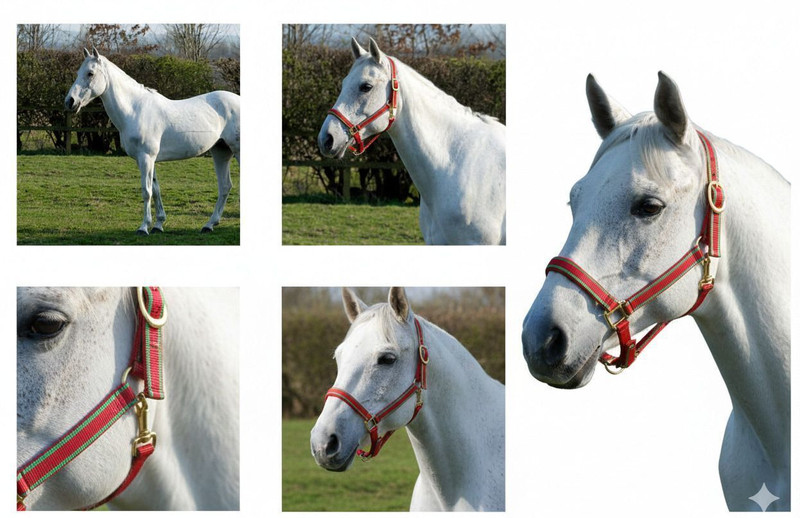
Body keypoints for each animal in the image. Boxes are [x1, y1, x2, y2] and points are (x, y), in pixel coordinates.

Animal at [64, 48, 241, 235]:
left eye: (90, 73)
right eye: (78, 72)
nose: (70, 101)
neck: (135, 110)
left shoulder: (146, 157)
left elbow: (146, 191)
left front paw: (143, 227)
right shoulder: (147, 159)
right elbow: (156, 190)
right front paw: (158, 224)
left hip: (237, 150)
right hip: (221, 151)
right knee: (225, 186)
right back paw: (209, 224)